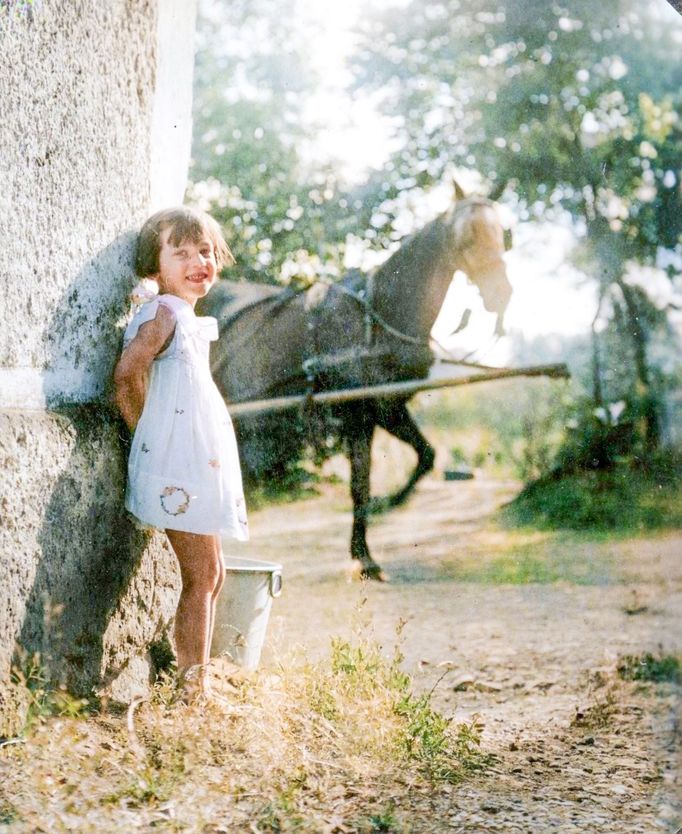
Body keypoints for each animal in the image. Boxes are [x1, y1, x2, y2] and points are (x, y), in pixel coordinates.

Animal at [199, 184, 512, 580]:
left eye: (502, 233)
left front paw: (374, 534)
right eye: (467, 234)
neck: (376, 318)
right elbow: (360, 484)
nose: (502, 294)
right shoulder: (357, 413)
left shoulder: (386, 407)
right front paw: (371, 536)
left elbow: (423, 457)